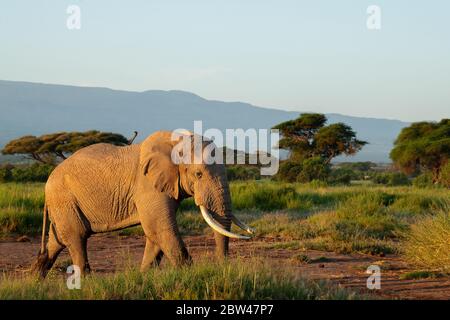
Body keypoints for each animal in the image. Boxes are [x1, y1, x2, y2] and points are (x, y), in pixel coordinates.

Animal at [32, 129, 253, 278]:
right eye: (198, 174)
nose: (221, 266)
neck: (175, 143)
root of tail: (47, 183)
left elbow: (155, 235)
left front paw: (143, 277)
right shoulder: (147, 185)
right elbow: (160, 228)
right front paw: (190, 276)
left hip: (63, 205)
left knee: (57, 242)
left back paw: (35, 280)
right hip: (64, 200)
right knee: (76, 240)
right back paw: (85, 282)